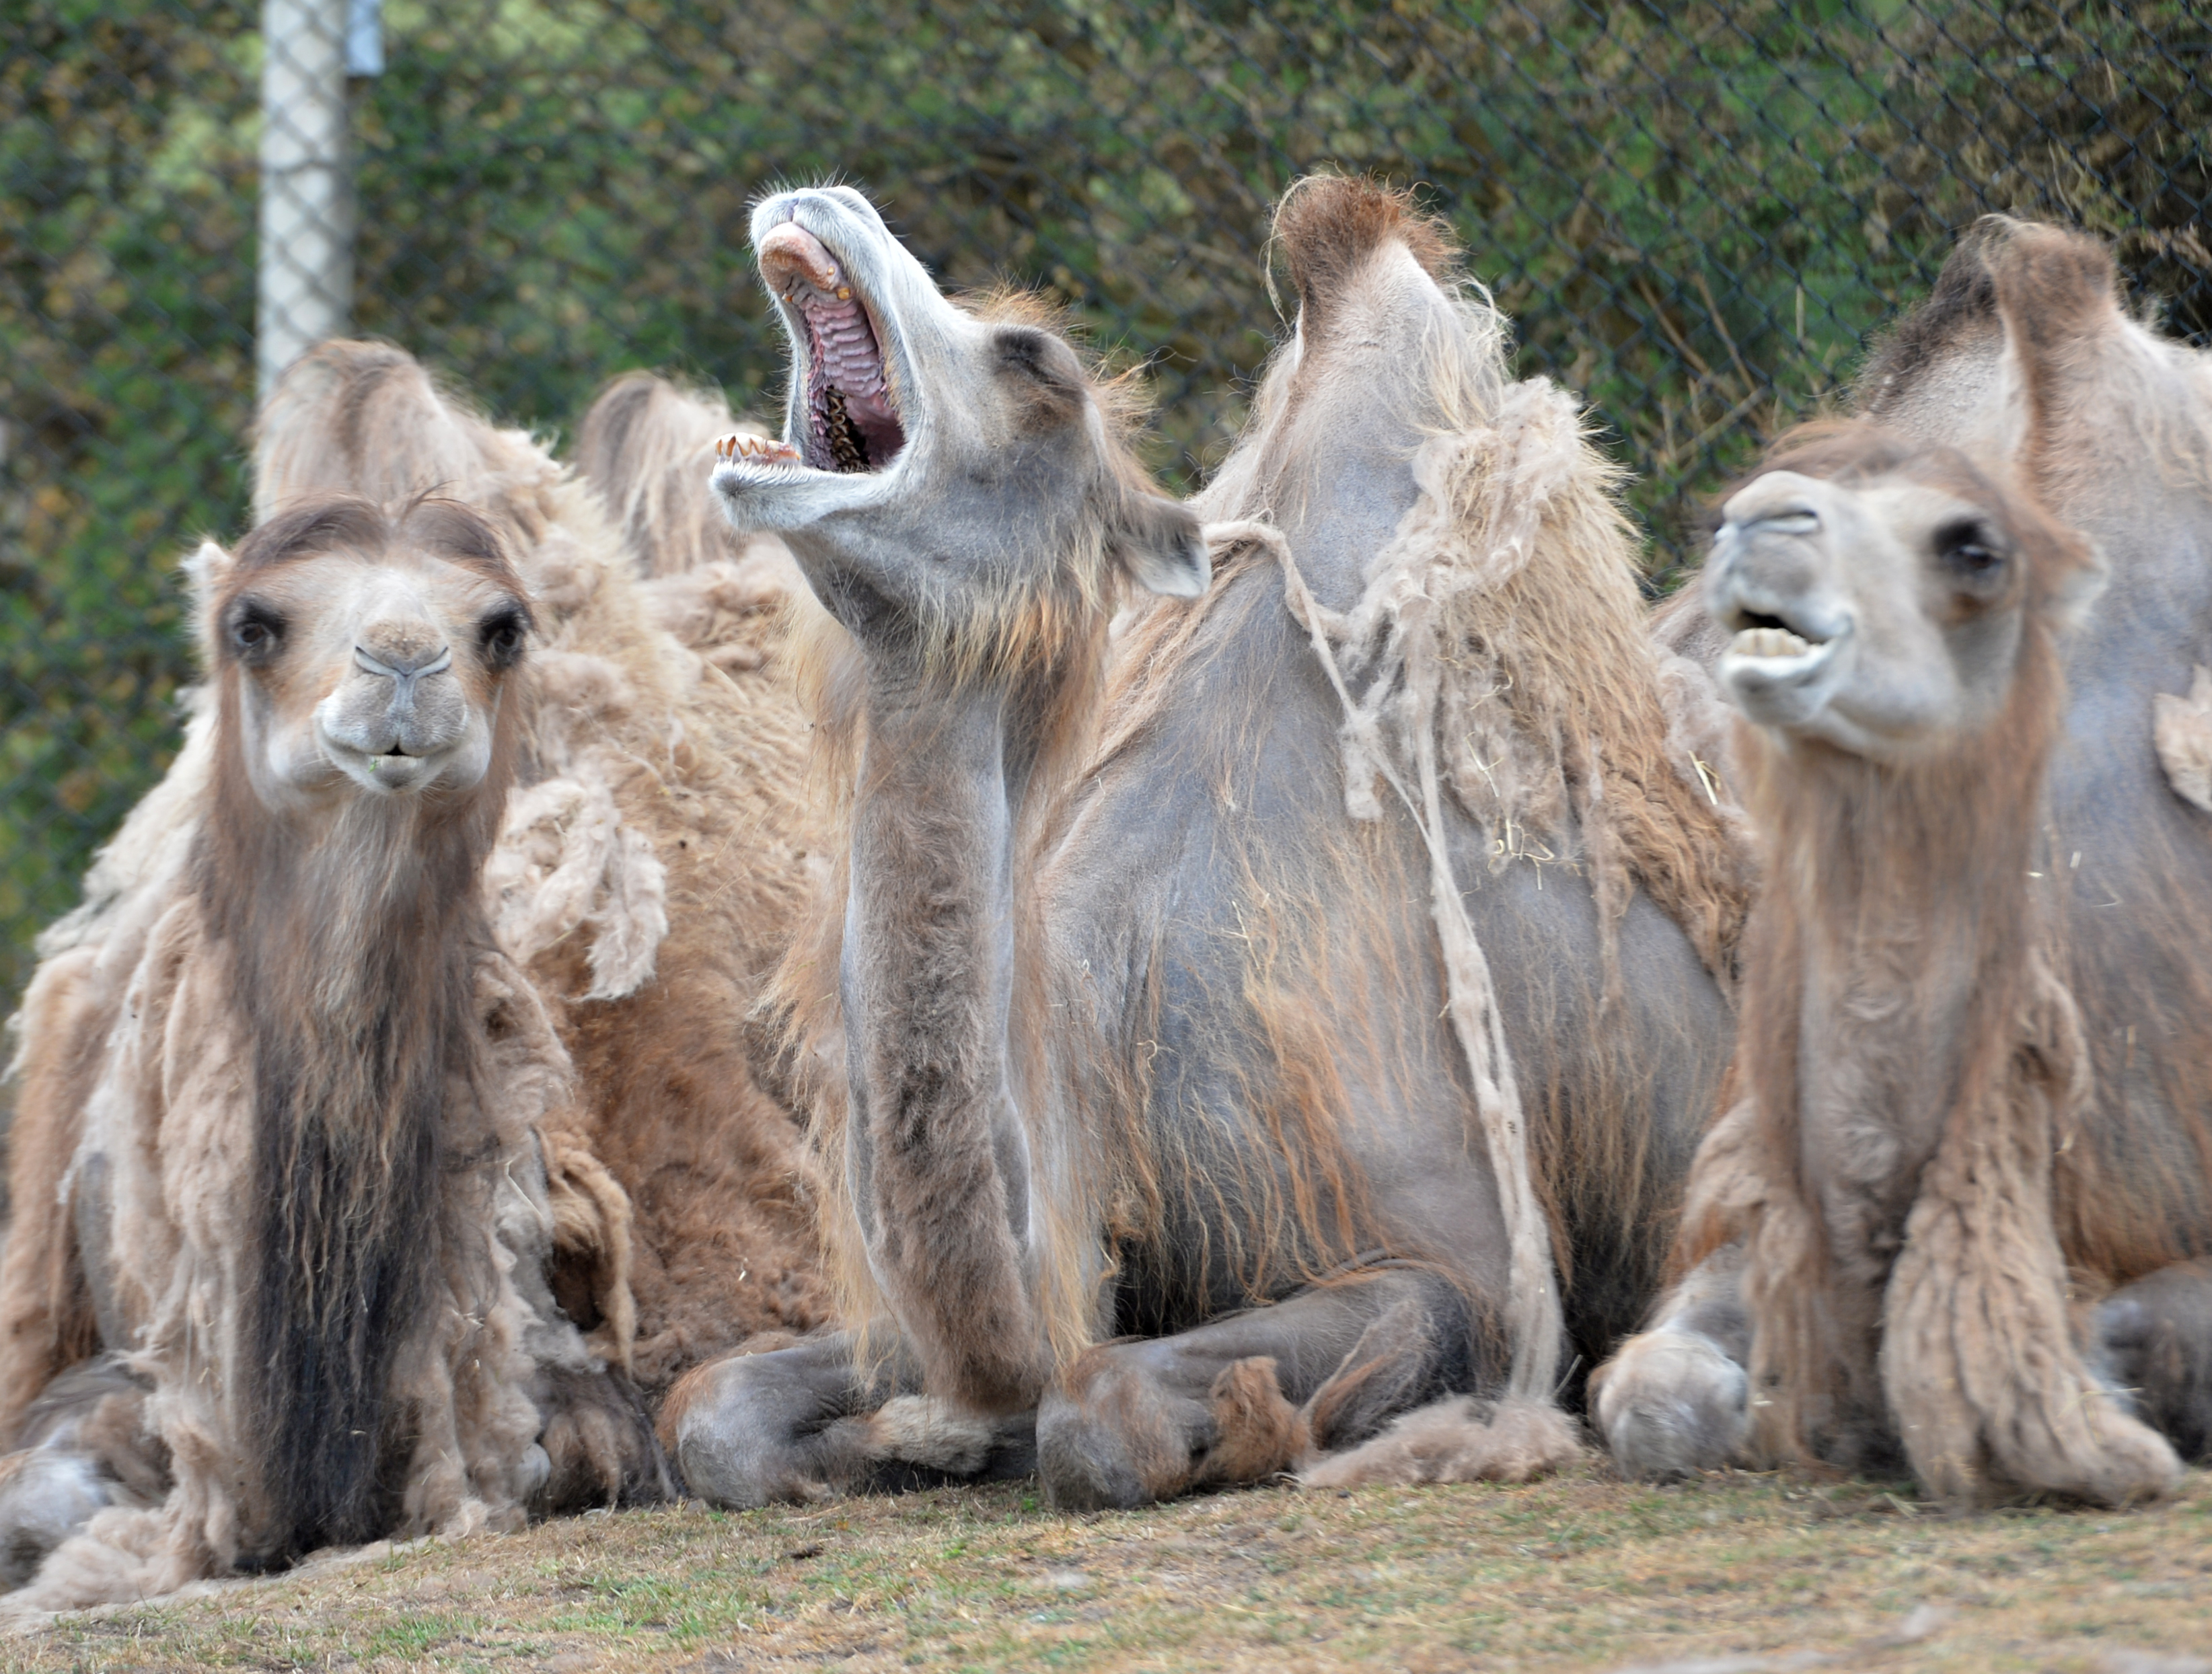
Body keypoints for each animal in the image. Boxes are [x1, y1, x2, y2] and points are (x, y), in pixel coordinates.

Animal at [664, 177, 1749, 1508]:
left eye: (1034, 361)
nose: (827, 196)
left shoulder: (1459, 1262)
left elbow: (1097, 1410)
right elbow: (710, 1411)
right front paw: (915, 1434)